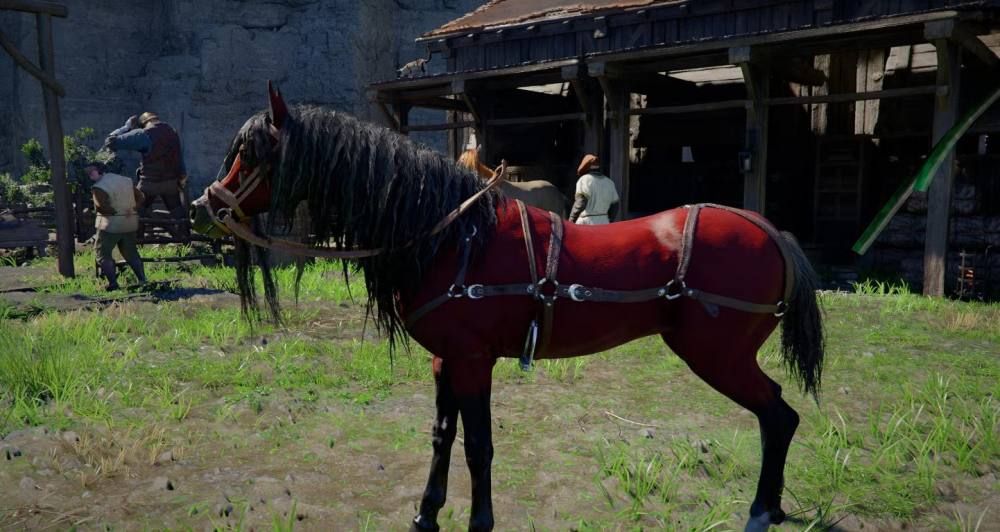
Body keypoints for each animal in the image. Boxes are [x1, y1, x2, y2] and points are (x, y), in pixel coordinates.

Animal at [190, 83, 824, 532]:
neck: (449, 235)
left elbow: (478, 445)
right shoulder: (447, 361)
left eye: (251, 152)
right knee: (779, 417)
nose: (204, 207)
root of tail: (770, 231)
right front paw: (426, 513)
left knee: (778, 417)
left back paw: (761, 512)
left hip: (719, 358)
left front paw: (478, 520)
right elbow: (444, 436)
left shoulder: (473, 361)